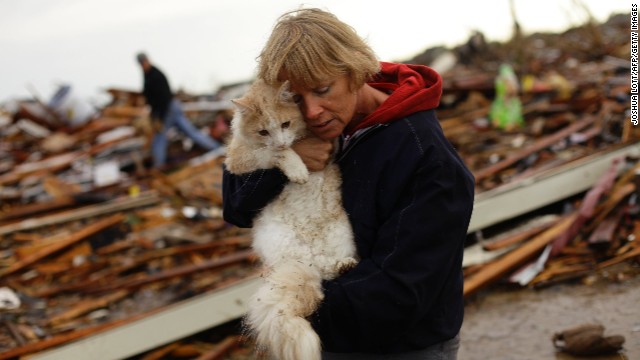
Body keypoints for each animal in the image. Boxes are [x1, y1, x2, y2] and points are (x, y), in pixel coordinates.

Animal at [224, 79, 356, 360]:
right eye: (263, 131)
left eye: (285, 124)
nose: (282, 142)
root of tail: (308, 265)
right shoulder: (241, 159)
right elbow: (274, 155)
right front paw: (297, 170)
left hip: (339, 235)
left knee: (330, 268)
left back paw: (344, 265)